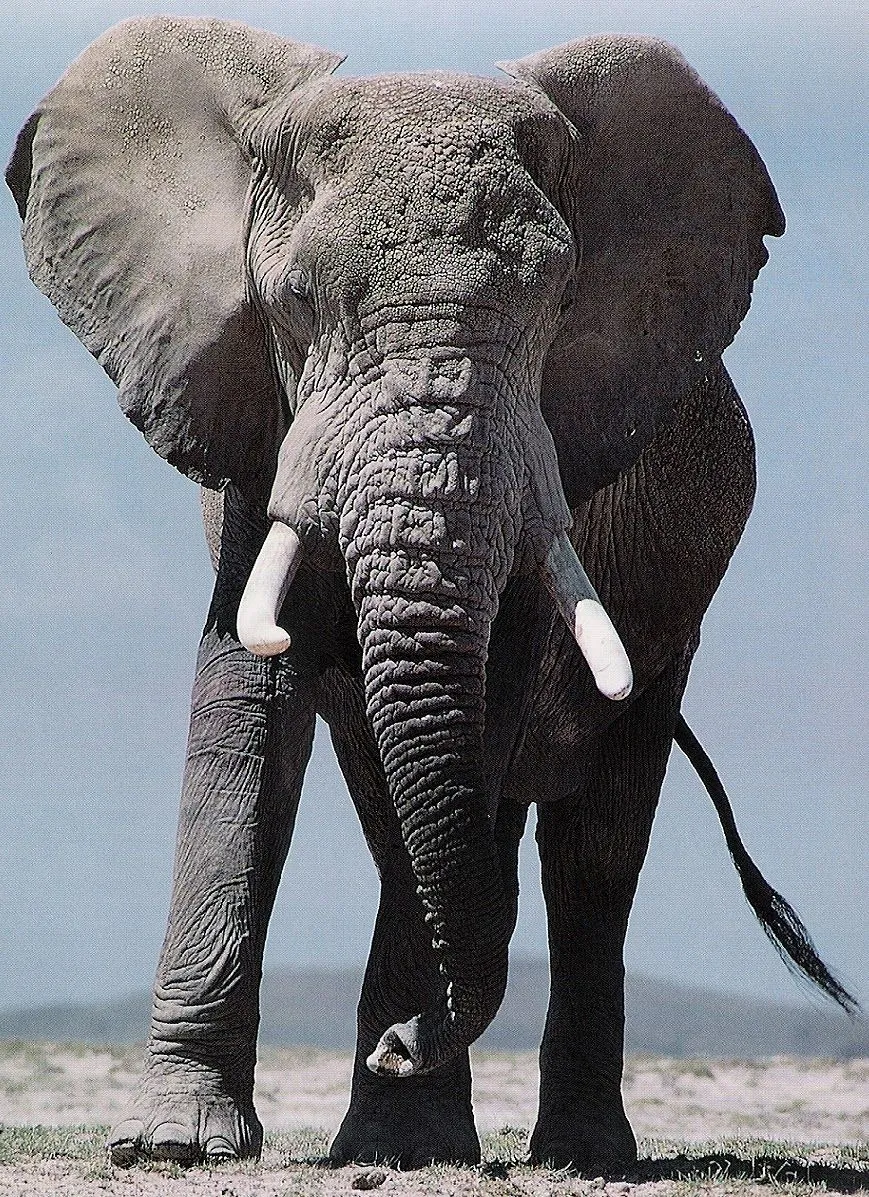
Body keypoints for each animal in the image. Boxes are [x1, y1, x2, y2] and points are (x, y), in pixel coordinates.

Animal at [8, 17, 857, 1175]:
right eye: (295, 303)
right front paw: (176, 1145)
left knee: (590, 847)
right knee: (410, 806)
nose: (400, 1045)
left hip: (676, 606)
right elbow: (244, 707)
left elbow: (488, 695)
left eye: (554, 303)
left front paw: (400, 1140)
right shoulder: (253, 419)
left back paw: (579, 1154)